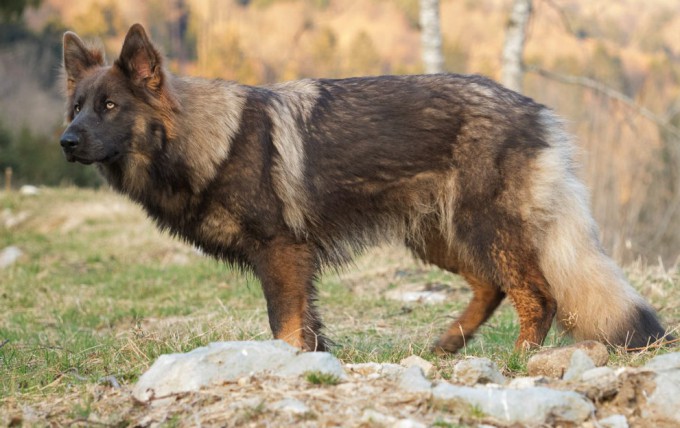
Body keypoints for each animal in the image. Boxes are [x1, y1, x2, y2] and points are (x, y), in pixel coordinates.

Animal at [59, 21, 668, 352]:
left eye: (109, 106)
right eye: (78, 106)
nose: (65, 141)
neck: (203, 139)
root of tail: (537, 110)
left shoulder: (280, 253)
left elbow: (285, 323)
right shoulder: (294, 263)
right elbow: (306, 327)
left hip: (484, 228)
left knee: (537, 297)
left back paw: (517, 359)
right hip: (439, 237)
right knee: (492, 287)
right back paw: (448, 345)